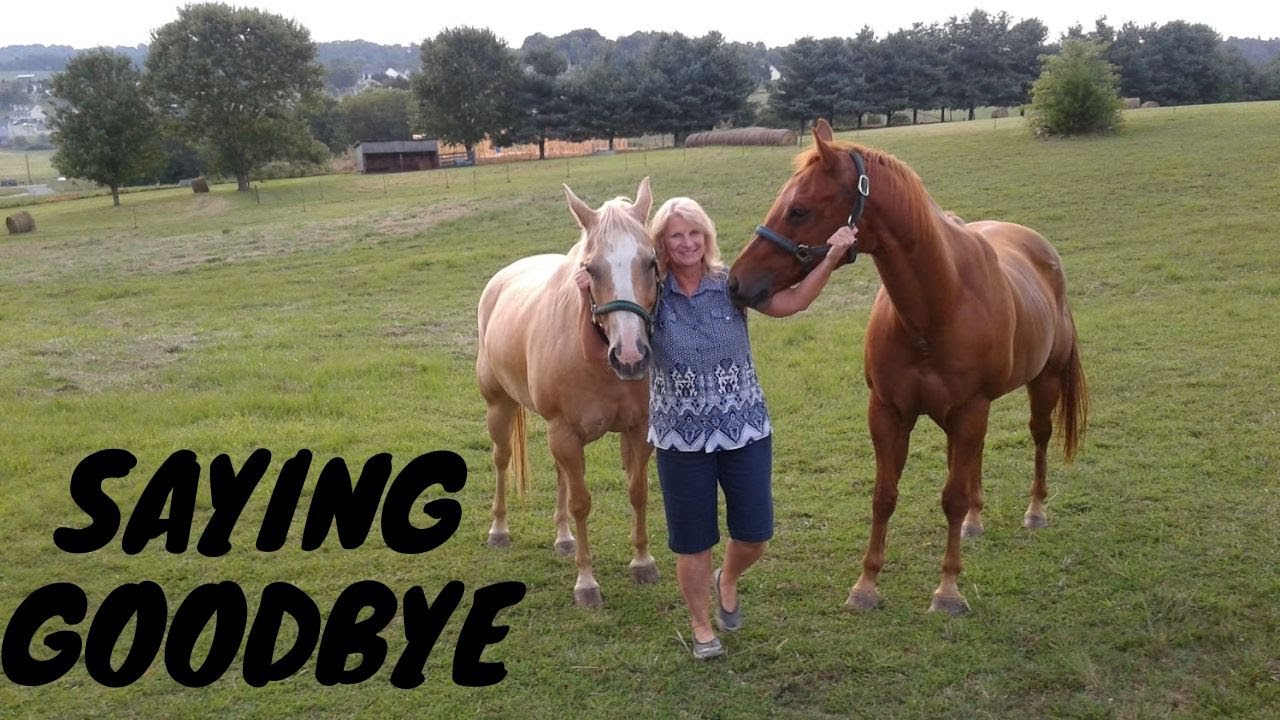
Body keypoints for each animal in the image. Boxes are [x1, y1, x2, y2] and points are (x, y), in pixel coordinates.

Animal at [476, 177, 662, 608]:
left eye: (650, 261)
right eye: (590, 268)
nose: (630, 356)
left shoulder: (637, 430)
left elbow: (637, 491)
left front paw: (642, 562)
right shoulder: (565, 433)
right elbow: (581, 502)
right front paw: (586, 583)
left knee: (559, 473)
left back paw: (563, 538)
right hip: (499, 408)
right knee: (501, 460)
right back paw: (499, 530)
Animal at [727, 119, 1088, 614]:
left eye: (798, 210)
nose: (736, 282)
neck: (936, 306)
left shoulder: (969, 410)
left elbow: (951, 498)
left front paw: (948, 590)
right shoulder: (888, 413)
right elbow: (884, 496)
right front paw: (866, 585)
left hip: (1042, 383)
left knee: (1039, 438)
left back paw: (1035, 511)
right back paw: (976, 522)